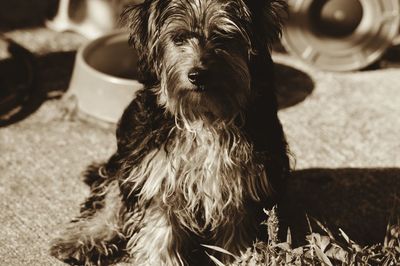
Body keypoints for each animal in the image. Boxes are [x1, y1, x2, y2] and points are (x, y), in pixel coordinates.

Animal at [50, 1, 290, 264]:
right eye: (178, 38)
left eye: (222, 36)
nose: (197, 74)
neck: (204, 115)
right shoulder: (156, 173)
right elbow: (159, 230)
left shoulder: (241, 181)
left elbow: (237, 231)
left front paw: (239, 258)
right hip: (125, 160)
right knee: (110, 196)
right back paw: (84, 237)